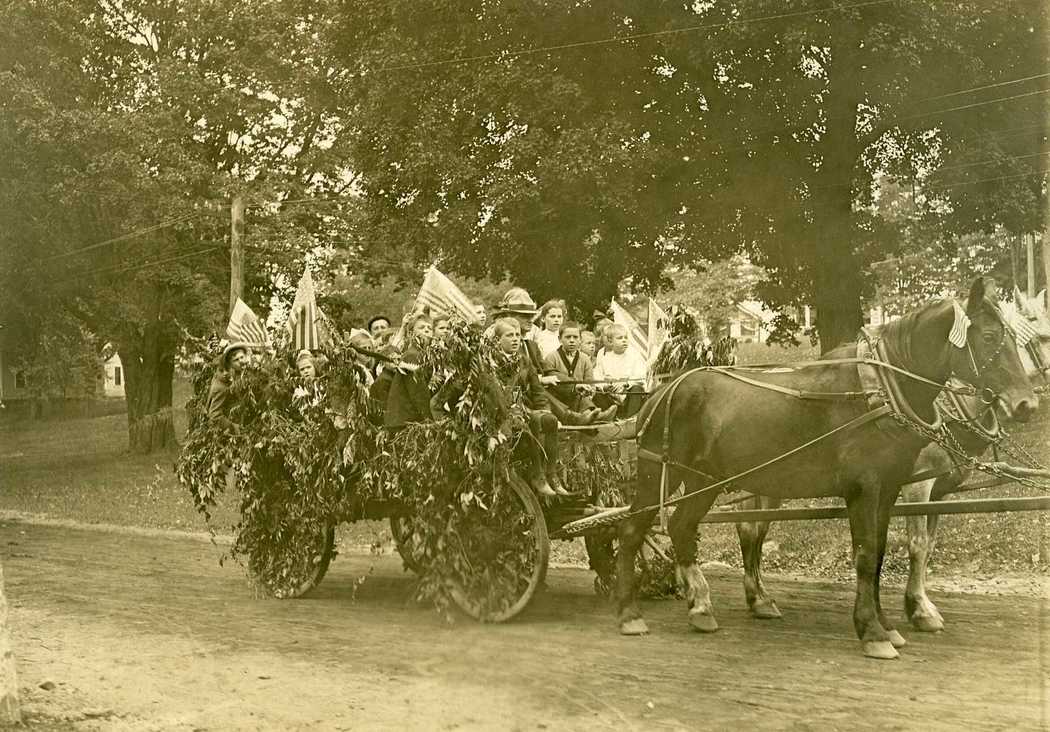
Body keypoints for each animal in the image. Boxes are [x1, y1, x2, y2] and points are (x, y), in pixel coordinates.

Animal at [617, 279, 1037, 655]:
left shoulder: (889, 489)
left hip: (705, 479)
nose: (1026, 404)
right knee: (634, 528)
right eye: (989, 337)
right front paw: (873, 631)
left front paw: (887, 624)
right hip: (660, 473)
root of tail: (662, 391)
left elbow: (880, 554)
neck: (877, 390)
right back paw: (629, 613)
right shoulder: (867, 488)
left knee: (682, 527)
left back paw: (701, 607)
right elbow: (867, 554)